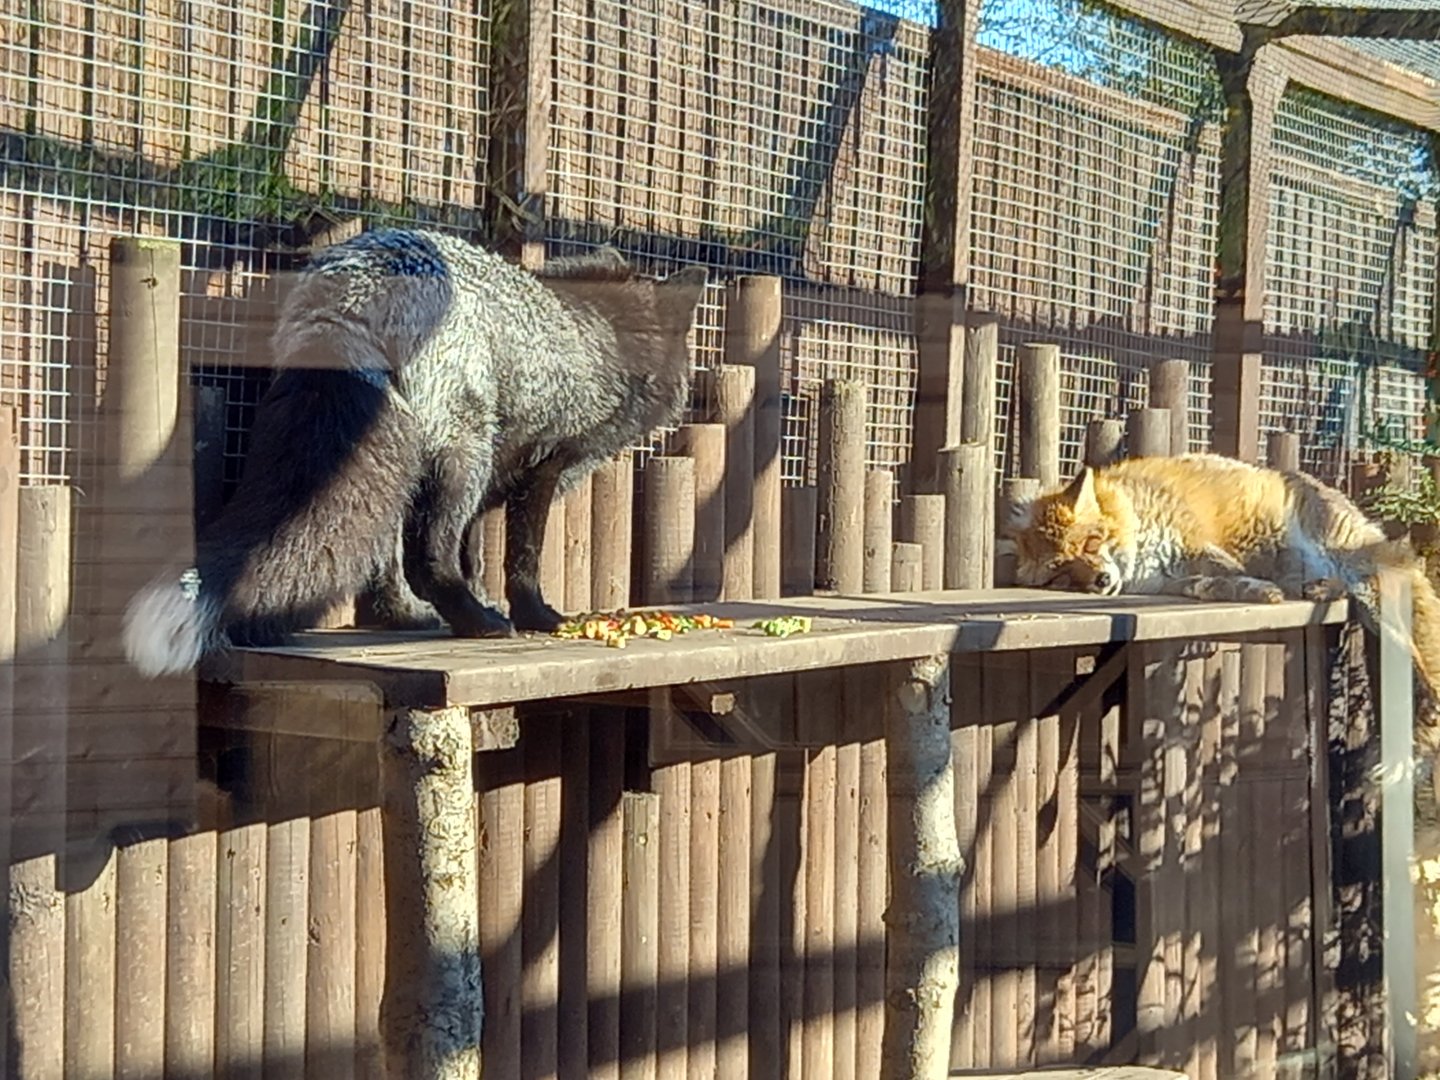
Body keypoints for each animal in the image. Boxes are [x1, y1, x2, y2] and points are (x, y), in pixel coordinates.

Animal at [123, 228, 708, 677]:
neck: (600, 338)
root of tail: (358, 283)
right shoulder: (543, 465)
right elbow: (521, 560)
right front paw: (539, 617)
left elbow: (474, 554)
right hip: (460, 454)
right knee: (426, 557)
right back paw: (478, 625)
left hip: (403, 462)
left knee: (388, 563)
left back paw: (410, 616)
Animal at [1003, 452, 1440, 752]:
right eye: (1061, 574)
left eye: (1091, 543)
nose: (1102, 581)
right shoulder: (1172, 581)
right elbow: (1211, 586)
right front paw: (1252, 591)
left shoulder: (1194, 544)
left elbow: (1227, 569)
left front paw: (1257, 590)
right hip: (1353, 588)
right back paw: (1317, 589)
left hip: (1360, 576)